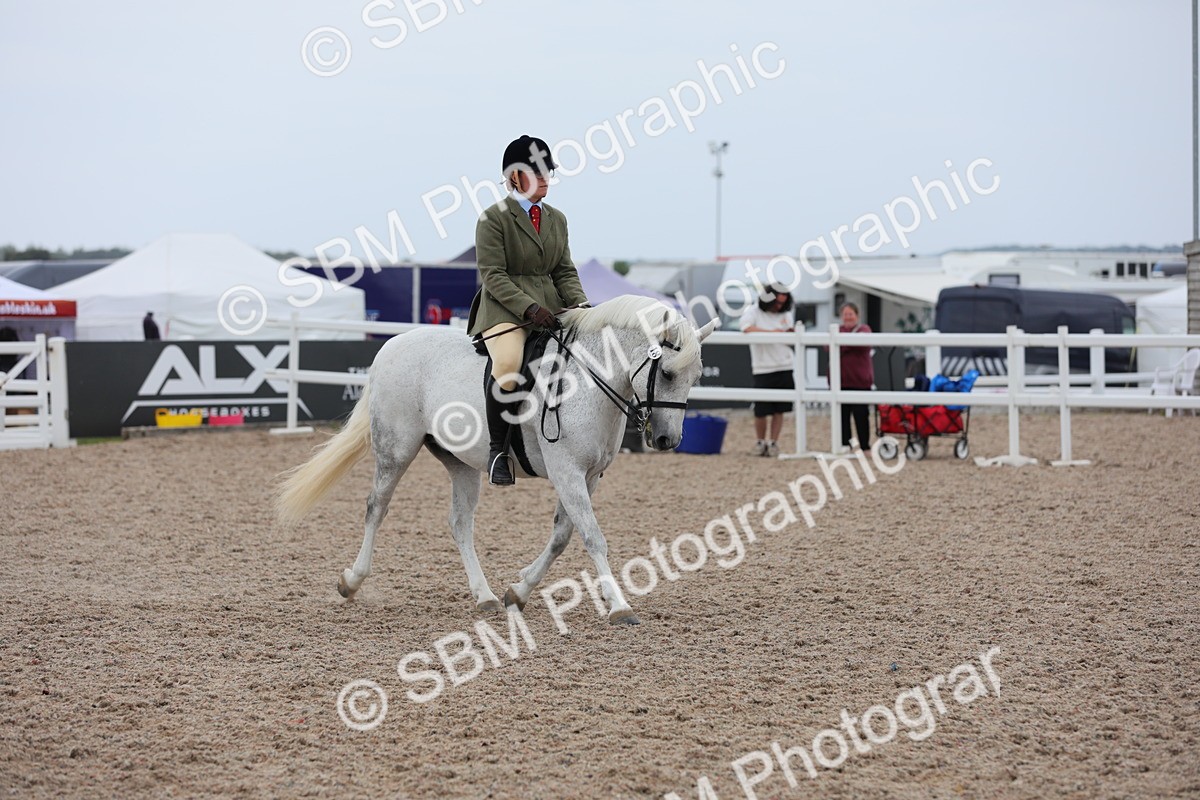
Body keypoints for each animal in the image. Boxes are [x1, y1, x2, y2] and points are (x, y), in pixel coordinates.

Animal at [276, 295, 719, 625]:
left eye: (696, 378)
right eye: (666, 373)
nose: (666, 439)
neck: (588, 379)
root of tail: (391, 345)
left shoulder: (589, 475)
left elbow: (562, 536)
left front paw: (518, 591)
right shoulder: (567, 471)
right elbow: (593, 536)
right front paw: (619, 606)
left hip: (460, 463)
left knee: (459, 524)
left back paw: (484, 596)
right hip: (396, 450)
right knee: (376, 508)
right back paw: (352, 581)